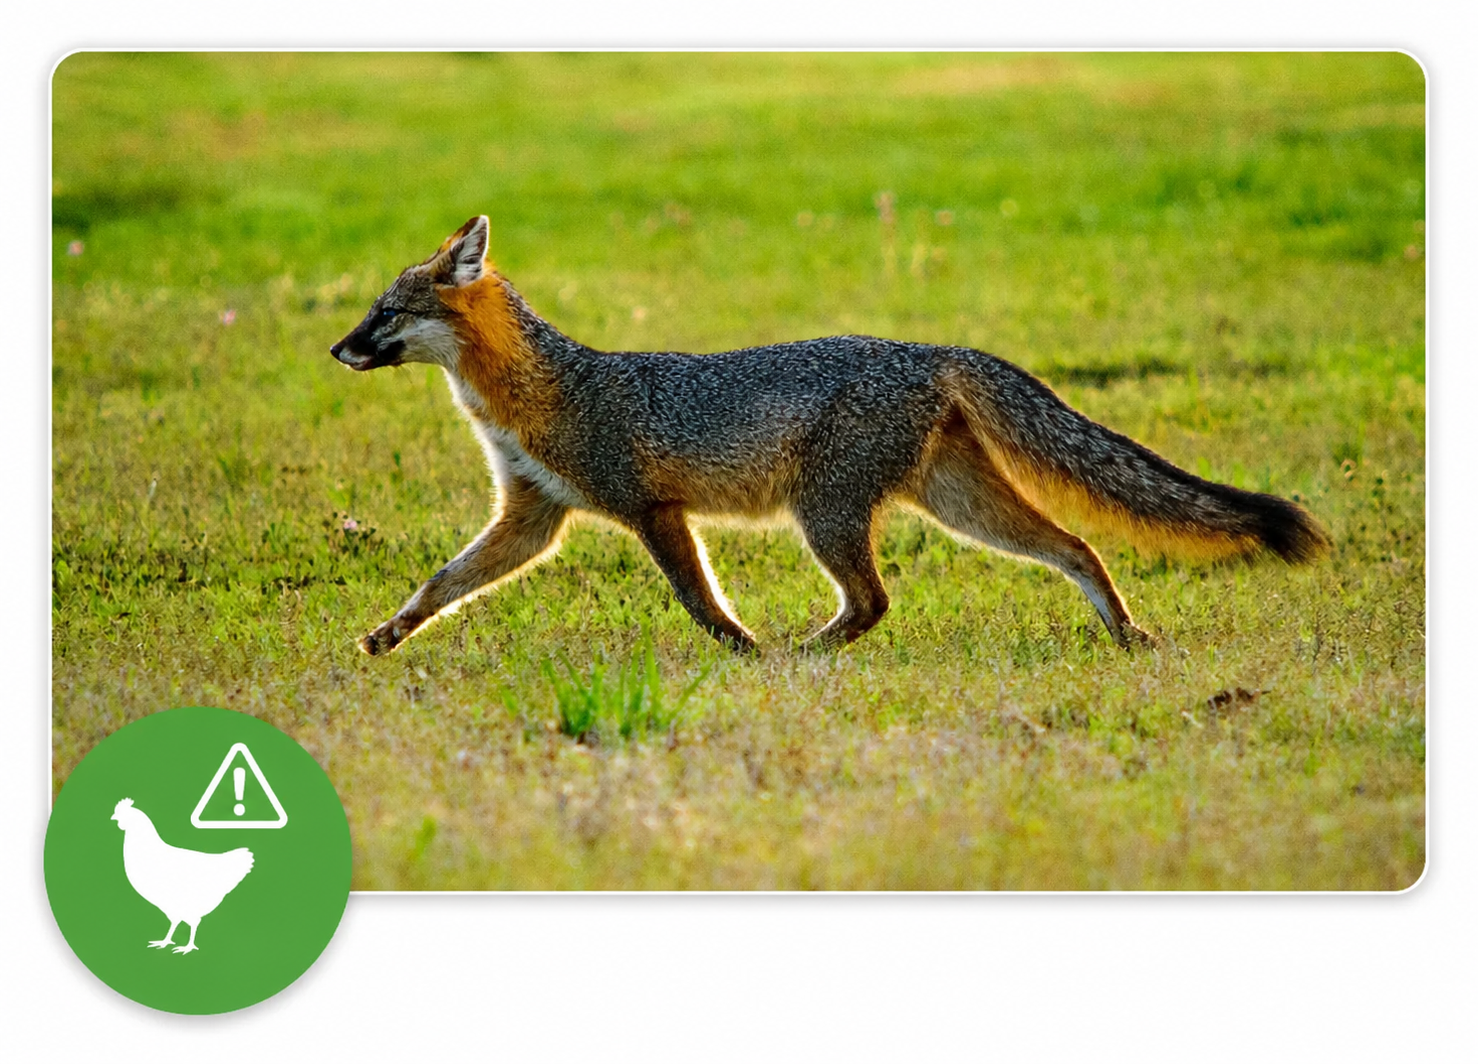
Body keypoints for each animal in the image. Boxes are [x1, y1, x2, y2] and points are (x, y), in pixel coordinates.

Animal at [330, 215, 1329, 656]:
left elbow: (699, 600)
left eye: (384, 313)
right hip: (958, 506)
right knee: (1078, 545)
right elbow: (442, 582)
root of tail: (928, 348)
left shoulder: (650, 507)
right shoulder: (531, 516)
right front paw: (387, 635)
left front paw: (742, 652)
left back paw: (804, 654)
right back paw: (1126, 635)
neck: (540, 391)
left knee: (875, 603)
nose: (336, 349)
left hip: (829, 514)